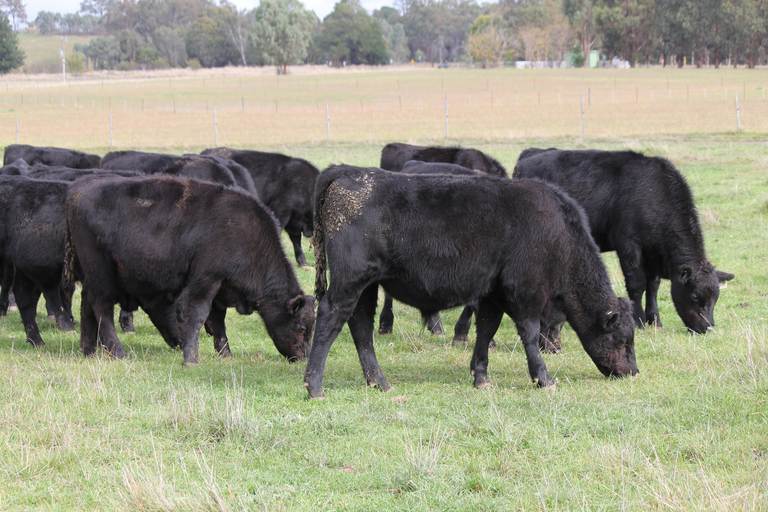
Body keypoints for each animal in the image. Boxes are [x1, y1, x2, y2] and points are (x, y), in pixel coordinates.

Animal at [65, 175, 316, 364]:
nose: (303, 357)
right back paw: (118, 352)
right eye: (301, 327)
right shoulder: (205, 281)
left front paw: (226, 354)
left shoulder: (220, 290)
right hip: (102, 276)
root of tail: (76, 191)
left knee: (87, 306)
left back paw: (88, 351)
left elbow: (218, 321)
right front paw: (191, 359)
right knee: (102, 308)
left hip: (92, 276)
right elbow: (197, 314)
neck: (245, 234)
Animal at [304, 165, 638, 398]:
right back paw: (314, 385)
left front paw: (481, 377)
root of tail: (349, 173)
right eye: (622, 339)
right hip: (349, 282)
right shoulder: (525, 292)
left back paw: (379, 382)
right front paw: (544, 379)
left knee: (361, 326)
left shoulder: (492, 294)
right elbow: (530, 335)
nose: (633, 372)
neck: (558, 233)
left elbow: (486, 330)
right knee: (331, 317)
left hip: (367, 286)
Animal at [514, 149, 735, 334]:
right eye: (695, 296)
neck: (654, 193)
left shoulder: (652, 252)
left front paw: (655, 320)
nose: (708, 328)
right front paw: (639, 321)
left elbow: (653, 286)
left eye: (716, 297)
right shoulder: (629, 245)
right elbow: (637, 283)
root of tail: (530, 154)